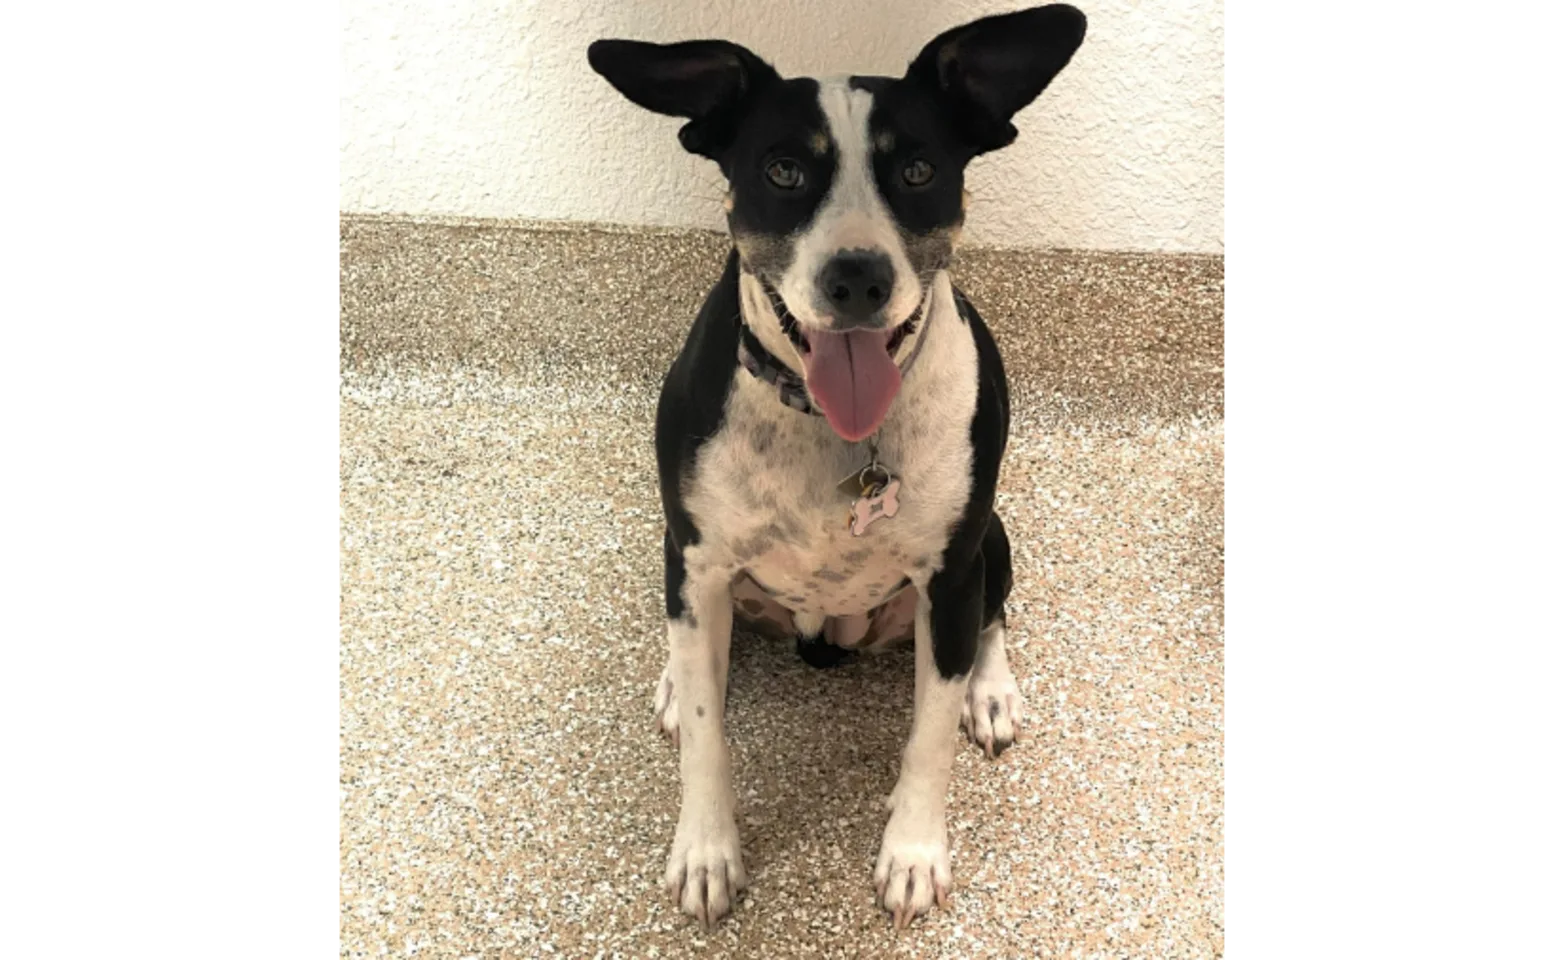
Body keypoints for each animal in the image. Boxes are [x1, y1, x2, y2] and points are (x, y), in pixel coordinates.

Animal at [588, 1, 1088, 931]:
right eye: (784, 171)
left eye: (919, 170)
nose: (857, 276)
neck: (830, 424)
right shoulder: (698, 554)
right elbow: (708, 732)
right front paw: (706, 850)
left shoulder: (950, 572)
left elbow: (928, 738)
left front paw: (914, 852)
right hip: (685, 560)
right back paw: (675, 676)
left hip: (990, 539)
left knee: (995, 614)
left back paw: (990, 693)